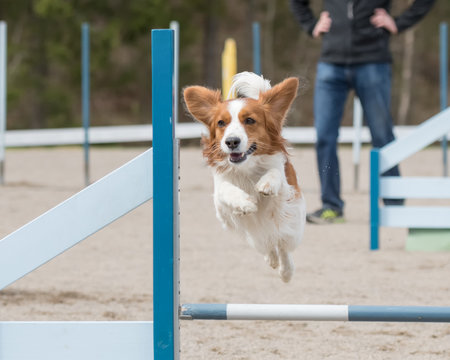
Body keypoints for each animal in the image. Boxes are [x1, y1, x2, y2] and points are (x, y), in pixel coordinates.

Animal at [183, 71, 306, 282]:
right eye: (221, 123)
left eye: (249, 120)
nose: (231, 141)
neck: (246, 167)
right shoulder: (221, 203)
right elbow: (225, 190)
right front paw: (244, 203)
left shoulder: (287, 194)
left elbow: (276, 176)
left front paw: (266, 184)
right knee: (266, 243)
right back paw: (271, 258)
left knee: (281, 242)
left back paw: (286, 271)